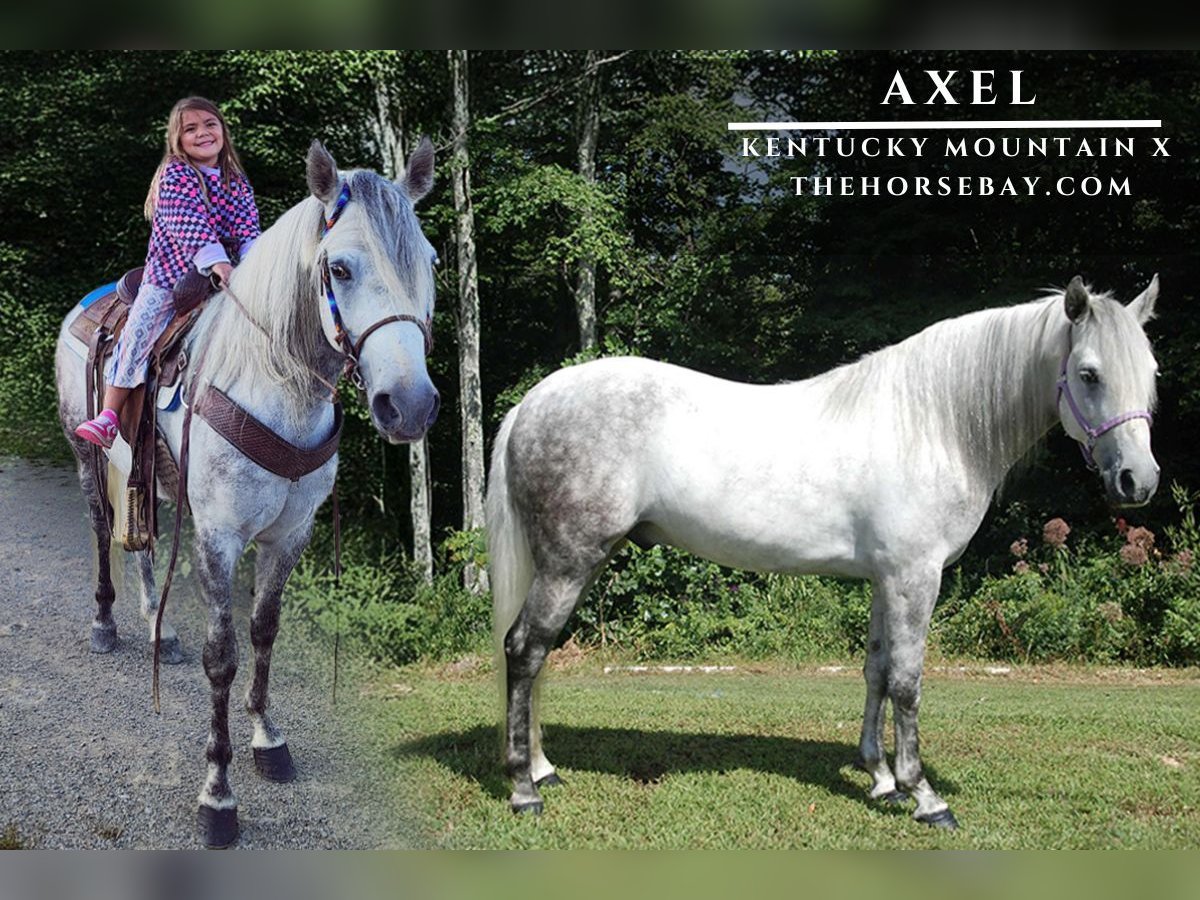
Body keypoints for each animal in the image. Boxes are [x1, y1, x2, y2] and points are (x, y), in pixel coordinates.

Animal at [55, 139, 440, 847]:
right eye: (339, 268)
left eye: (428, 262)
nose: (410, 405)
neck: (273, 385)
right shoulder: (219, 537)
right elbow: (223, 657)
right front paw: (217, 795)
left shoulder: (288, 535)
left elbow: (264, 632)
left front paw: (268, 740)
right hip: (85, 452)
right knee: (101, 529)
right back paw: (104, 623)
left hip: (149, 473)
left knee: (144, 544)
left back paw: (157, 627)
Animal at [487, 275, 1160, 828]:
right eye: (1089, 373)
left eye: (1151, 372)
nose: (1139, 482)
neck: (932, 426)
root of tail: (531, 403)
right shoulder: (915, 578)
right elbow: (908, 681)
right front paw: (923, 795)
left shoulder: (886, 580)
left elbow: (876, 671)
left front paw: (880, 778)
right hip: (569, 562)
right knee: (525, 650)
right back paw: (524, 788)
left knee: (538, 656)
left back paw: (544, 768)